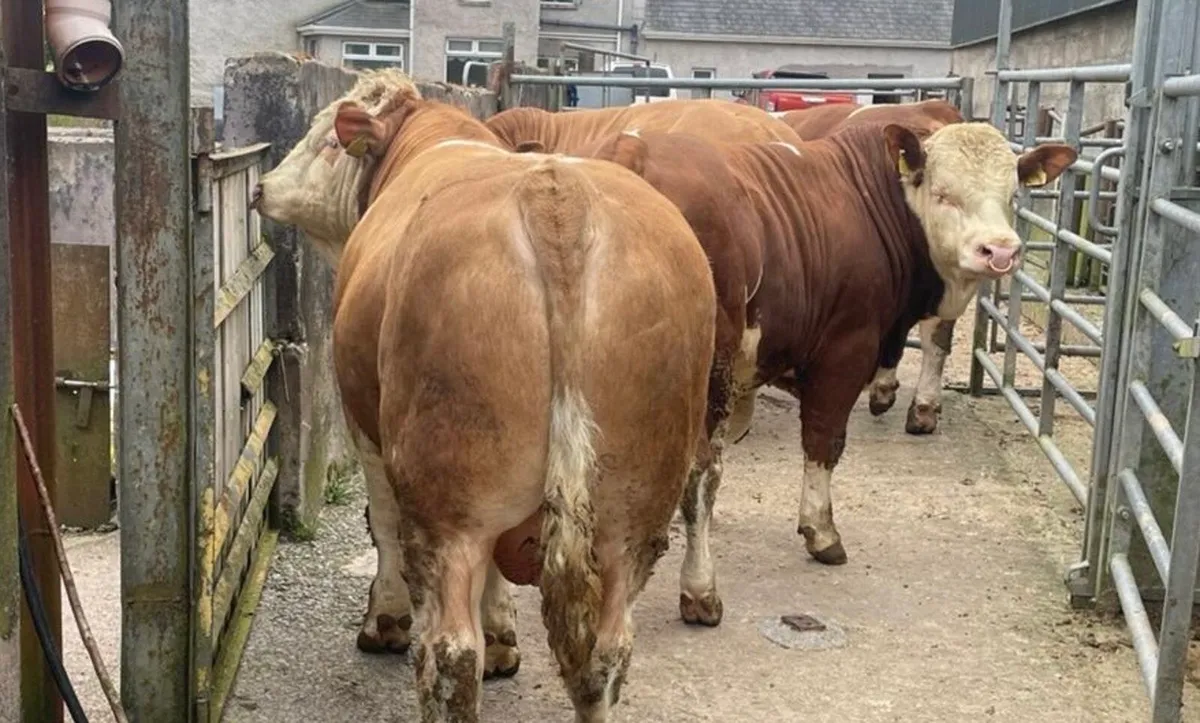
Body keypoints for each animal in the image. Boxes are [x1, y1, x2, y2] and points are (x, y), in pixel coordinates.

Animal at [250, 70, 717, 721]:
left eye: (326, 140)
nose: (261, 187)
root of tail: (555, 194)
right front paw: (503, 638)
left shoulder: (365, 430)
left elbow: (381, 523)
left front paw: (385, 621)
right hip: (634, 502)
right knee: (608, 653)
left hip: (449, 498)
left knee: (449, 654)